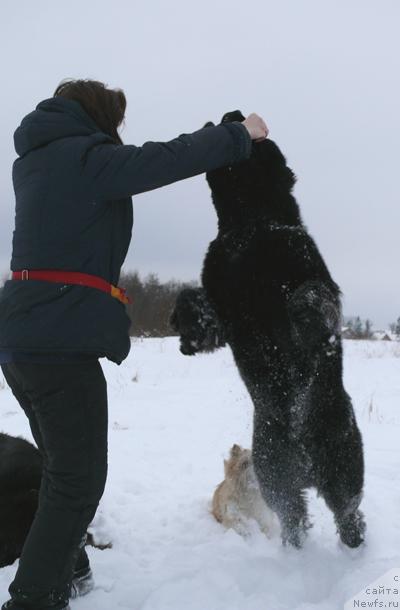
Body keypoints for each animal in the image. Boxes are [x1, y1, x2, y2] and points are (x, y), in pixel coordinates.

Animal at [172, 108, 366, 548]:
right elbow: (200, 306)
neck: (251, 223)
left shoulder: (304, 267)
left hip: (343, 464)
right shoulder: (222, 302)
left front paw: (313, 327)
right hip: (275, 472)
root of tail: (307, 463)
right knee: (297, 518)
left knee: (348, 515)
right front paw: (186, 331)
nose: (233, 113)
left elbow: (312, 295)